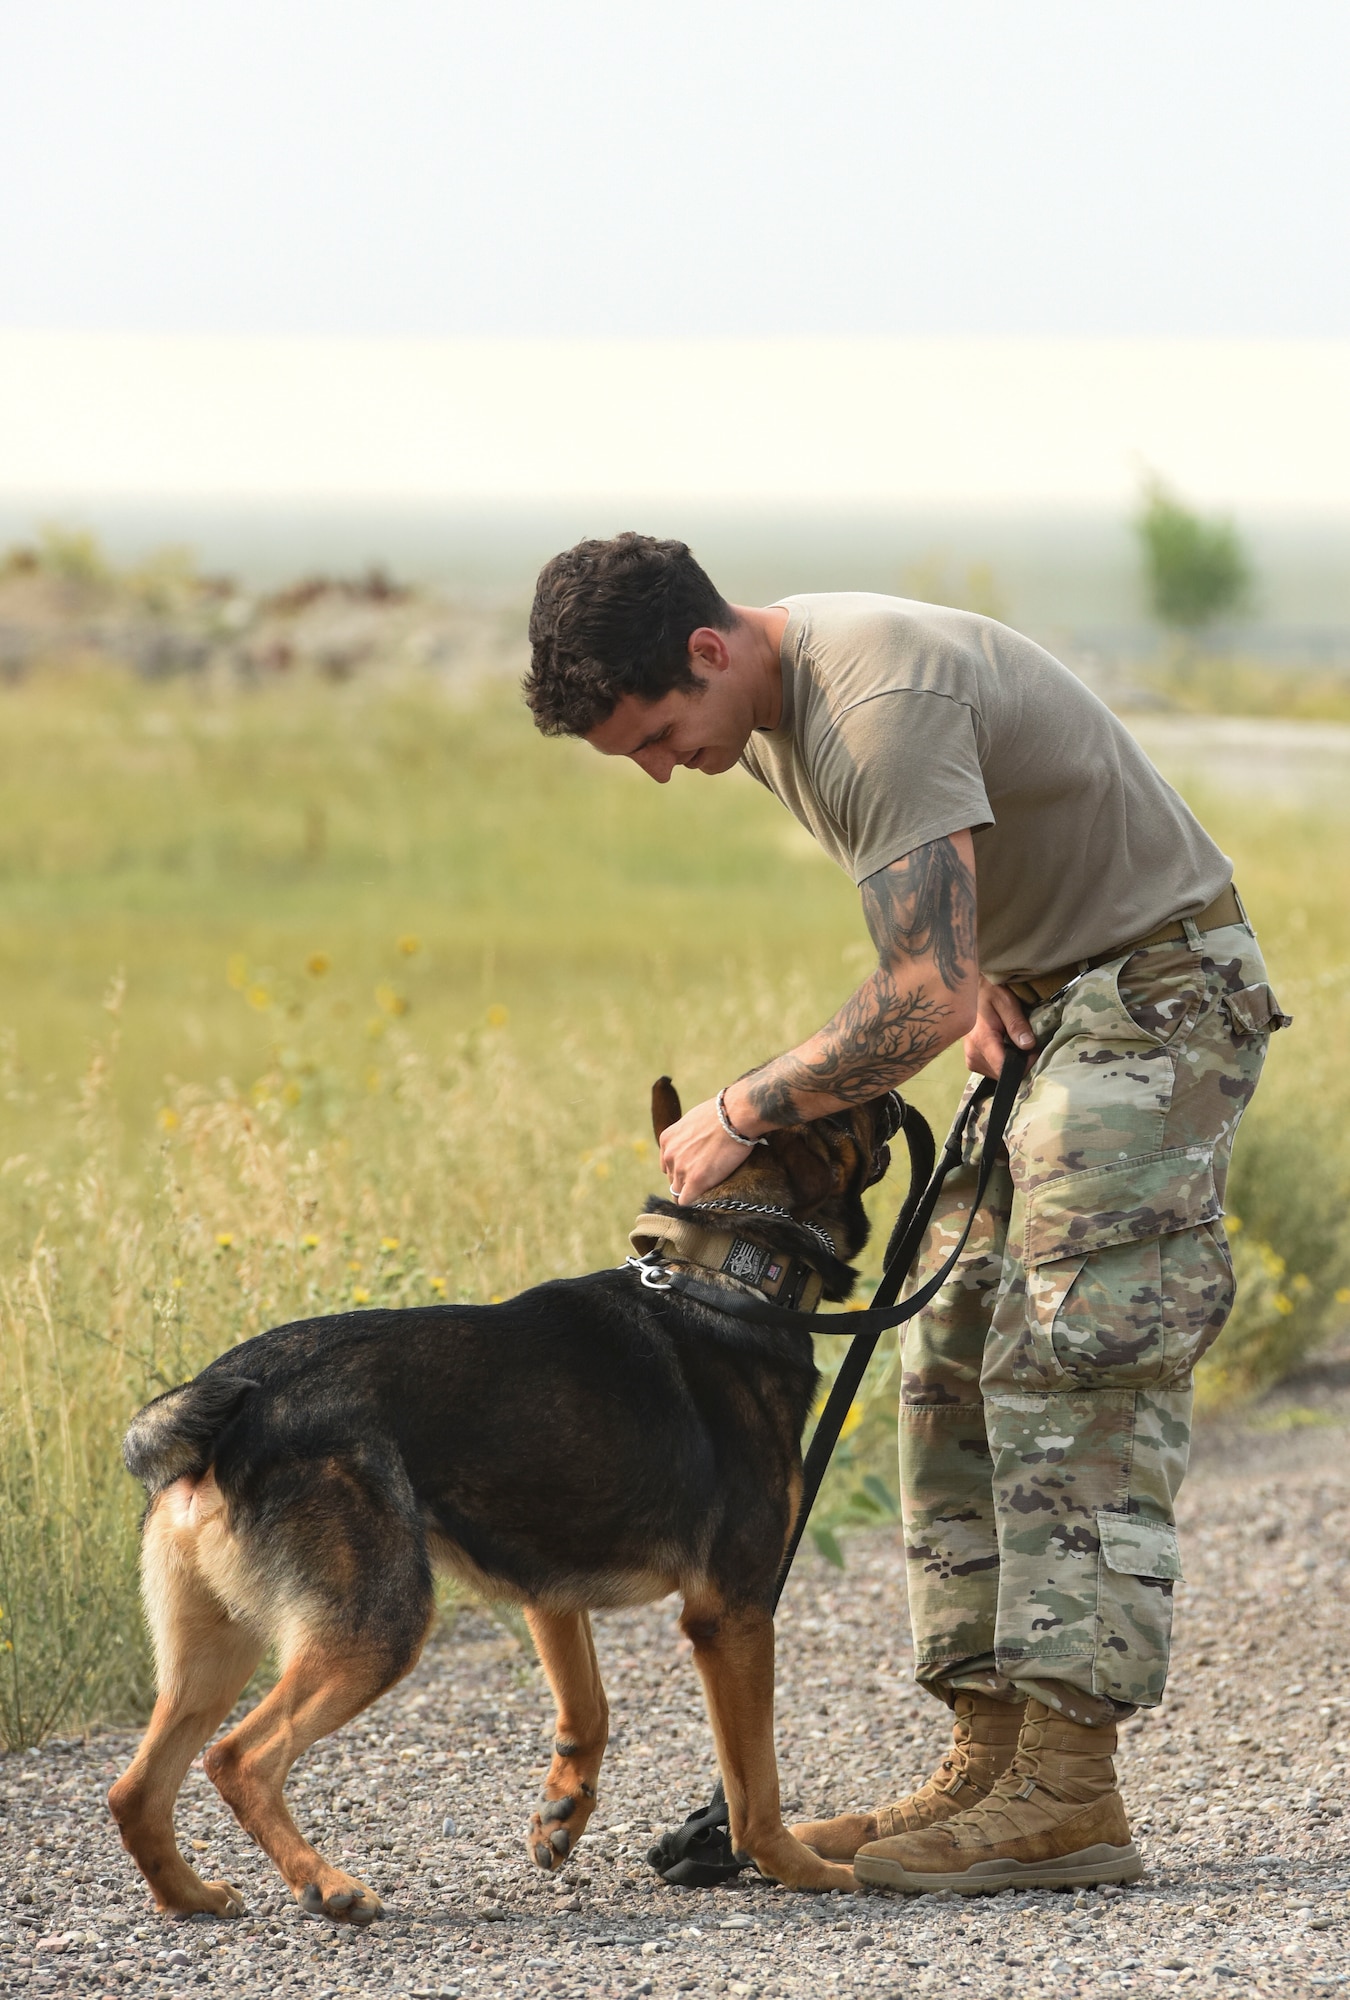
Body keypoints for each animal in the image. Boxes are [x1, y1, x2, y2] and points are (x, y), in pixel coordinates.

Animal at [108, 1088, 896, 1928]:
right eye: (847, 1117)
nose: (893, 1101)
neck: (725, 1271)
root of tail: (230, 1403)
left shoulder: (550, 1591)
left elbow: (589, 1712)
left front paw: (563, 1814)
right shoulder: (732, 1615)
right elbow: (755, 1790)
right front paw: (801, 1868)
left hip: (213, 1654)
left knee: (136, 1791)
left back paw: (190, 1895)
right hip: (374, 1629)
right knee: (238, 1759)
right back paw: (327, 1885)